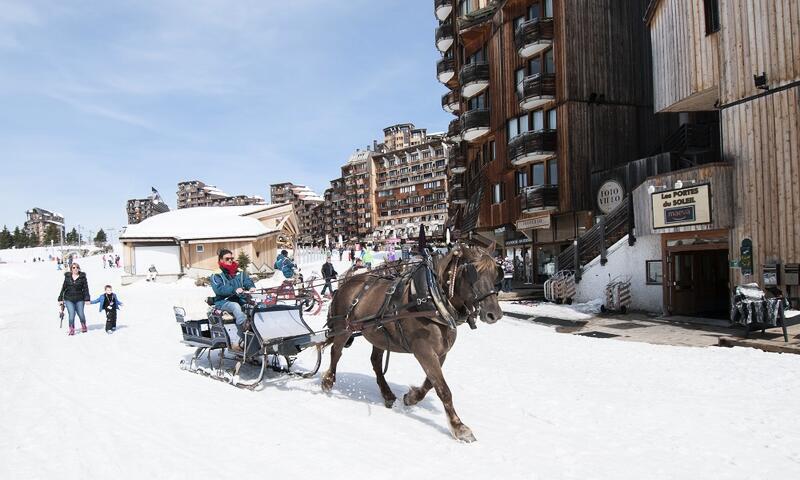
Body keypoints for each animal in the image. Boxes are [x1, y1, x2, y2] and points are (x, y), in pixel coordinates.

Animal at [318, 244, 500, 442]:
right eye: (473, 273)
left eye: (495, 272)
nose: (495, 314)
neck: (432, 299)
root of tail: (346, 283)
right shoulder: (423, 350)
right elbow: (443, 389)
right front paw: (459, 427)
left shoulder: (440, 352)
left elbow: (431, 383)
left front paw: (411, 397)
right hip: (343, 329)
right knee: (336, 352)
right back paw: (328, 381)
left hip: (378, 335)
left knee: (376, 362)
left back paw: (387, 393)